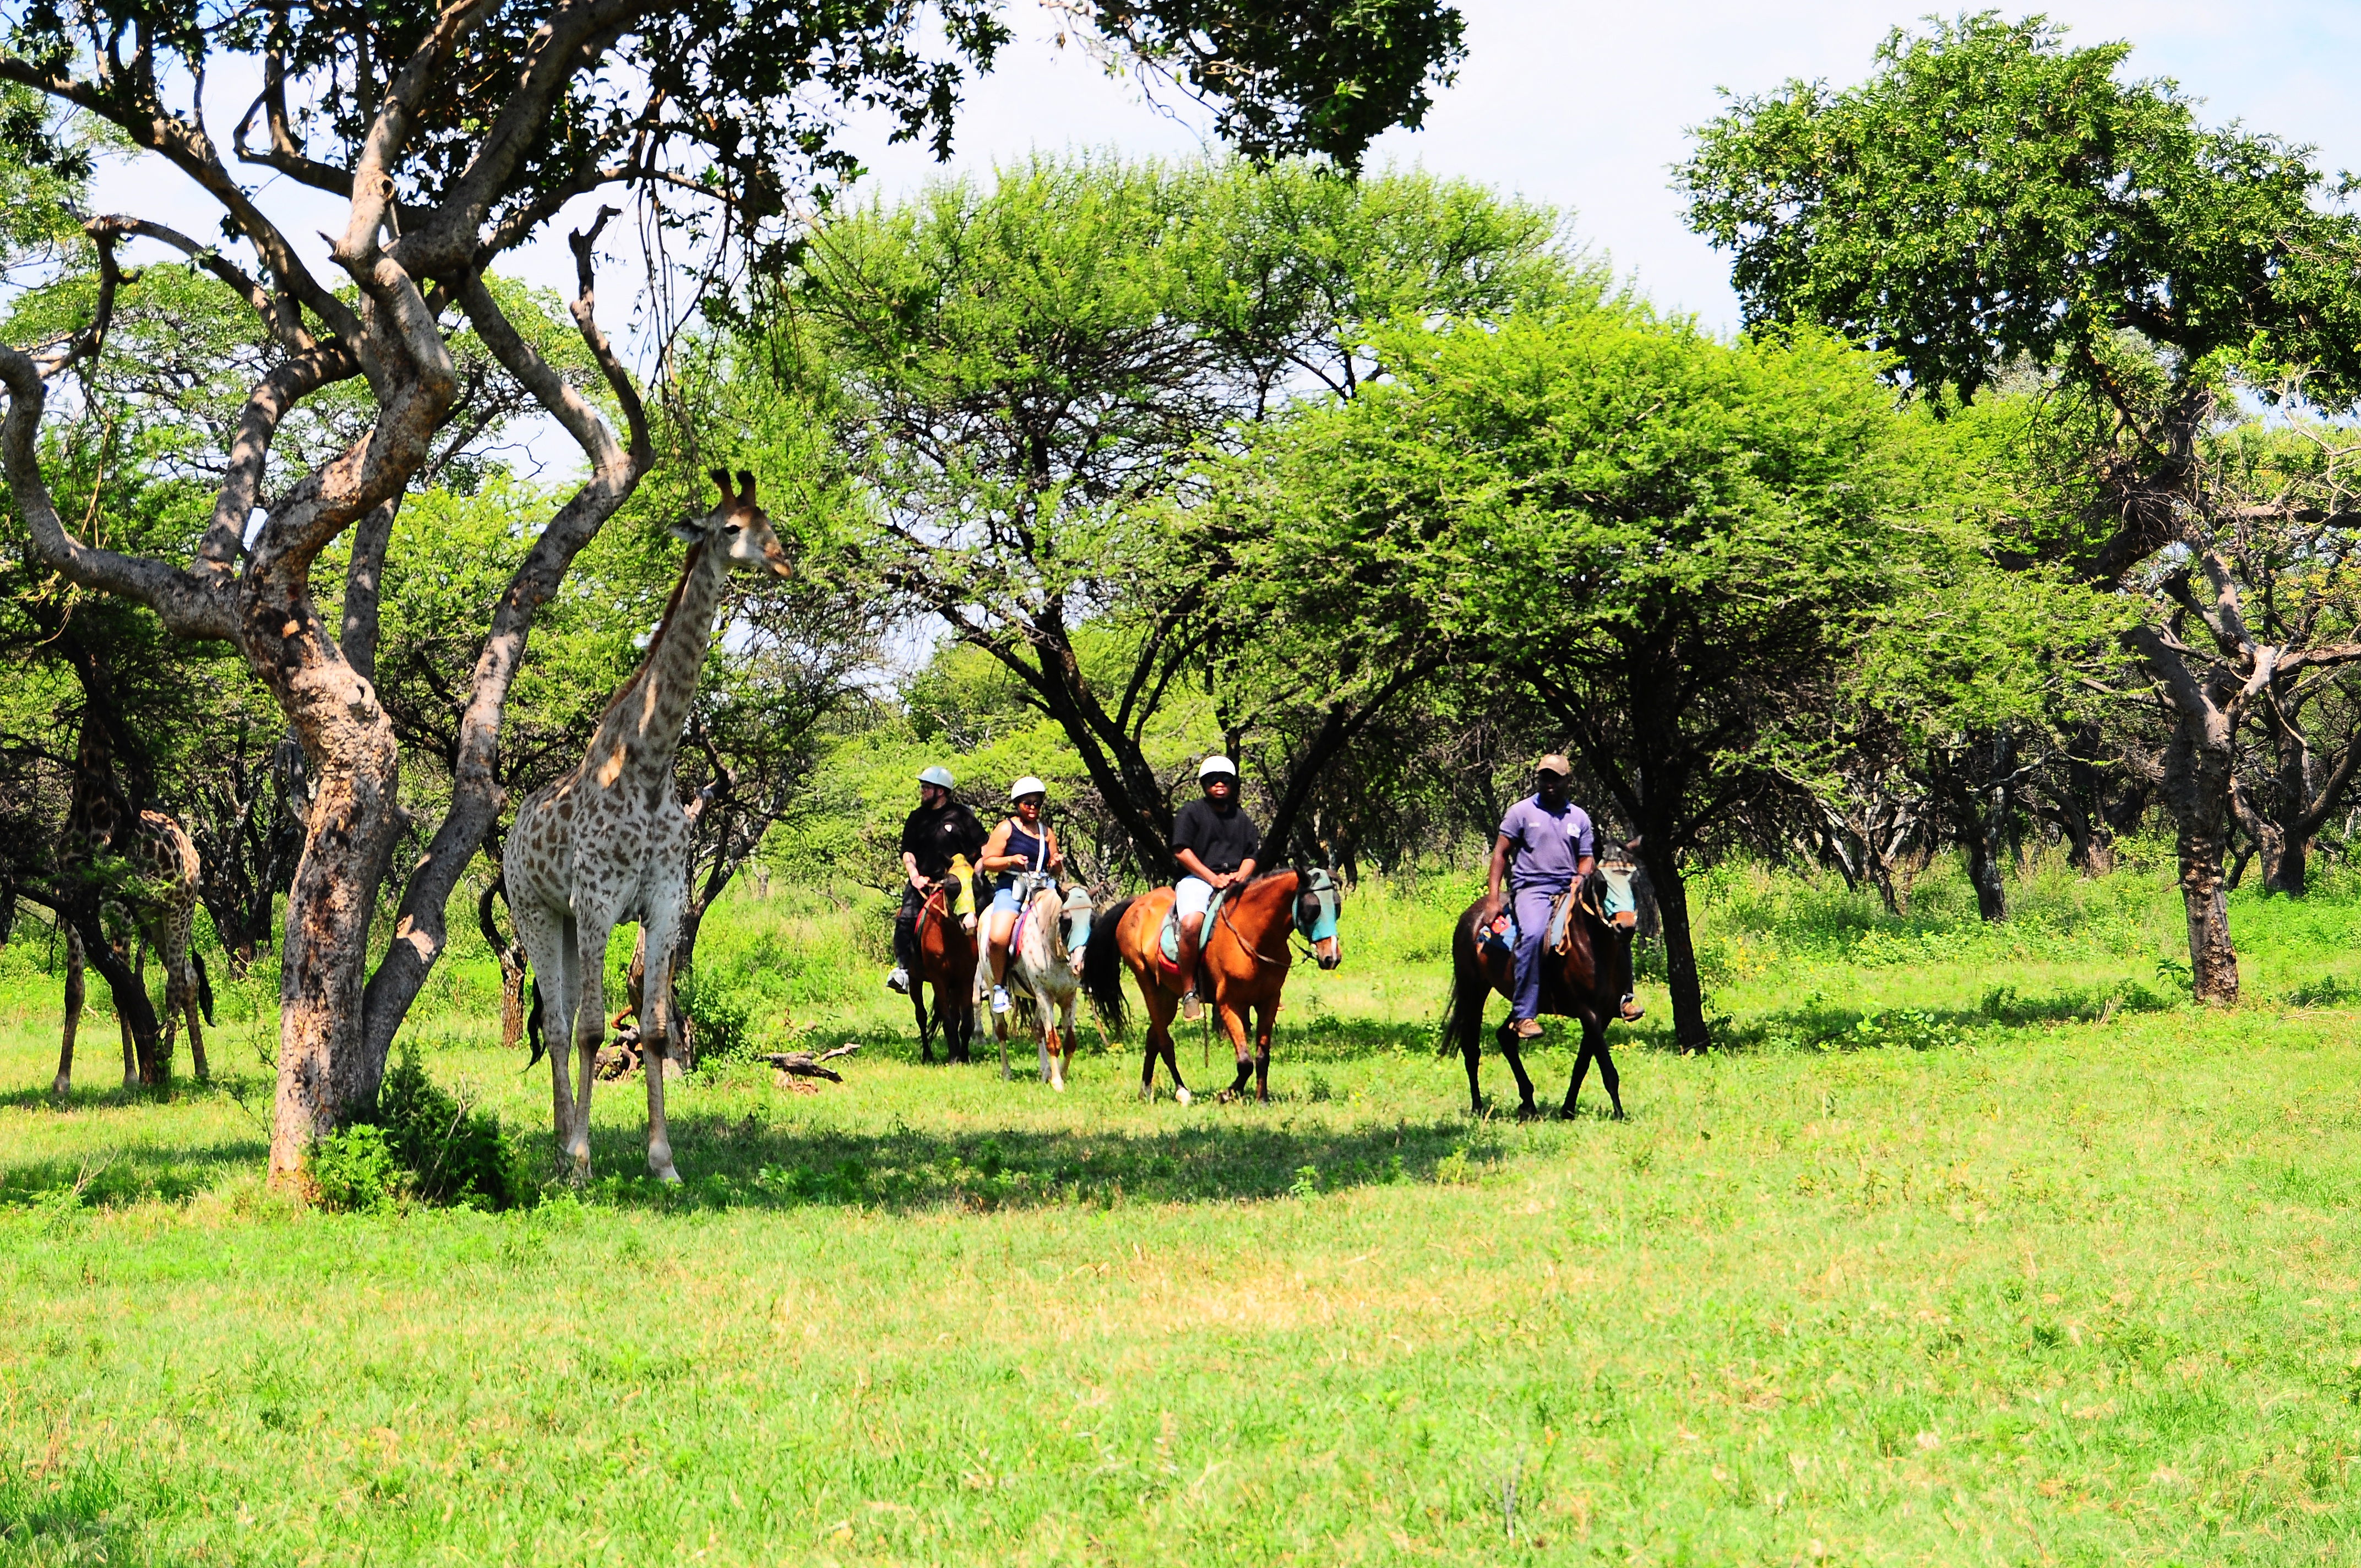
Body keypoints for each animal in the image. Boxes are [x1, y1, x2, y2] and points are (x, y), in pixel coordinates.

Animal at [912, 866, 980, 1065]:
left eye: (977, 885)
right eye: (952, 886)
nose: (970, 924)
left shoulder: (966, 979)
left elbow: (966, 1022)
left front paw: (964, 1056)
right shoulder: (939, 980)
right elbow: (948, 1022)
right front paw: (953, 1058)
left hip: (955, 985)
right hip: (915, 980)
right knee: (921, 1015)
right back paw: (927, 1054)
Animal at [984, 878, 1095, 1089]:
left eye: (1092, 920)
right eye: (1066, 920)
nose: (1080, 964)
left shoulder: (1068, 997)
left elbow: (1070, 1042)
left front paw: (1060, 1074)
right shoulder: (1045, 995)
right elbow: (1053, 1040)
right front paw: (1058, 1083)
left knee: (1037, 1029)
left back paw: (1045, 1072)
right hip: (994, 989)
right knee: (1001, 1031)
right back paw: (1007, 1073)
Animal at [1082, 867, 1341, 1104]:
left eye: (1337, 907)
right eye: (1313, 908)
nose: (1332, 958)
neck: (1255, 936)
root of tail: (1136, 904)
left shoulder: (1268, 1002)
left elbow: (1262, 1056)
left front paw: (1262, 1099)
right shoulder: (1229, 1004)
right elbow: (1245, 1062)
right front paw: (1227, 1094)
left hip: (1167, 996)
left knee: (1153, 1036)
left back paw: (1146, 1091)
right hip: (1149, 987)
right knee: (1164, 1042)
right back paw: (1182, 1092)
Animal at [1438, 865, 1637, 1120]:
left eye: (1633, 882)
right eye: (1603, 884)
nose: (1626, 927)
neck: (1593, 947)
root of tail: (1471, 916)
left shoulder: (1603, 1016)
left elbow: (1582, 1065)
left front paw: (1567, 1110)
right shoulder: (1589, 1012)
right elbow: (1607, 1068)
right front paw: (1619, 1114)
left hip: (1524, 1003)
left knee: (1506, 1037)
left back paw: (1528, 1103)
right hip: (1473, 990)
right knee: (1471, 1048)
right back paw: (1478, 1107)